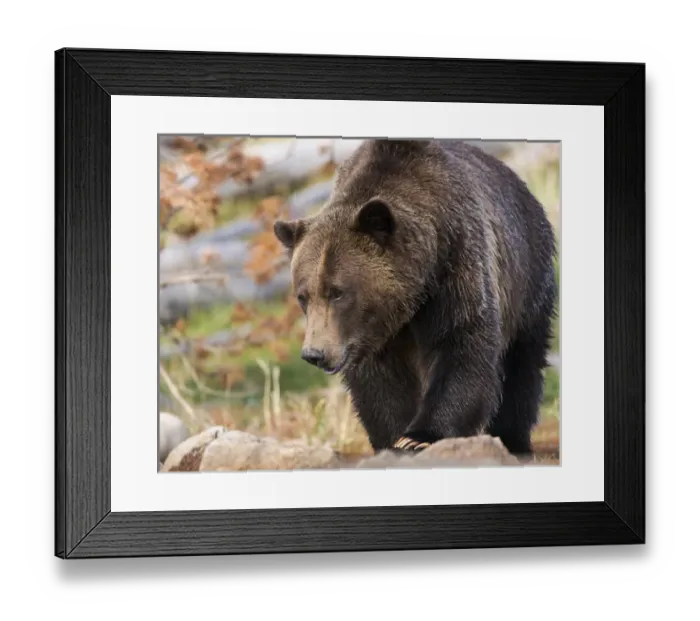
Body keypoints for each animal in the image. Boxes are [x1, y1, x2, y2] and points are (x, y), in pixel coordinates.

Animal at [273, 139, 557, 458]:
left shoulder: (456, 266)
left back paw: (513, 439)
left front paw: (420, 437)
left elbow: (462, 345)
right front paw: (395, 438)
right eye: (303, 296)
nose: (315, 353)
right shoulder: (370, 335)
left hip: (528, 273)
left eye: (337, 292)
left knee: (522, 362)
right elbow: (379, 381)